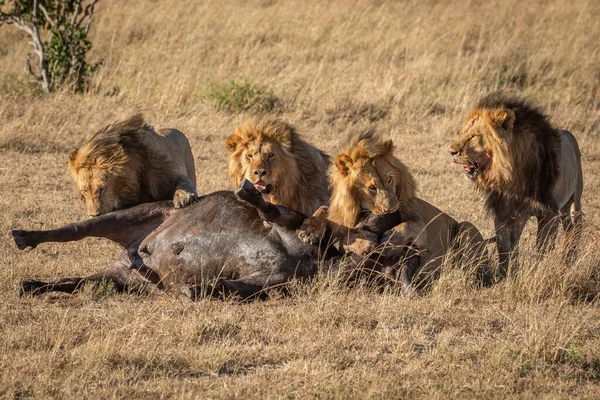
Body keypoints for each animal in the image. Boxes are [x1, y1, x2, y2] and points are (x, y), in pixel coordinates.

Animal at [68, 114, 198, 217]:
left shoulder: (168, 176)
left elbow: (183, 184)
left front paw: (183, 198)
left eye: (102, 188)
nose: (94, 215)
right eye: (84, 191)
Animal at [448, 91, 584, 278]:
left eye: (474, 136)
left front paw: (536, 271)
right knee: (568, 228)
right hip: (560, 209)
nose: (451, 152)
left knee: (576, 227)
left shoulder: (548, 213)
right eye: (462, 133)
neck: (512, 177)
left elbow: (542, 247)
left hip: (575, 199)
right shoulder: (505, 213)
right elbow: (505, 248)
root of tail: (569, 133)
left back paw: (570, 258)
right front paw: (505, 275)